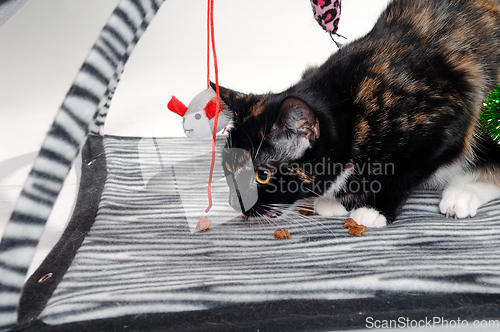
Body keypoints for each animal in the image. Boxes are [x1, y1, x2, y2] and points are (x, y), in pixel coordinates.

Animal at [214, 0, 500, 227]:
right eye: (227, 168)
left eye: (262, 176)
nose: (235, 203)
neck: (350, 108)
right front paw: (338, 199)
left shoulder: (447, 128)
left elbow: (403, 176)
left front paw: (374, 209)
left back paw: (461, 194)